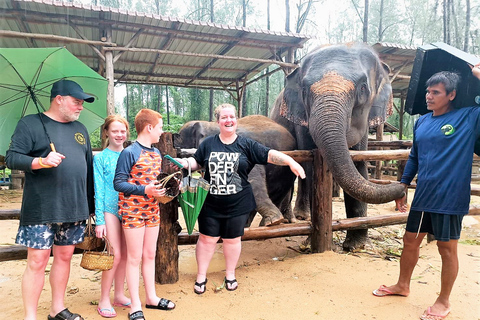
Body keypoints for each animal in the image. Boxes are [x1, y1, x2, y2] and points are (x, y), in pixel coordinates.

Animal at [270, 42, 404, 250]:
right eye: (304, 91)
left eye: (363, 88)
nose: (403, 190)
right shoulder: (301, 121)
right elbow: (310, 168)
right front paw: (314, 243)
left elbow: (358, 163)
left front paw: (356, 246)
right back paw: (294, 218)